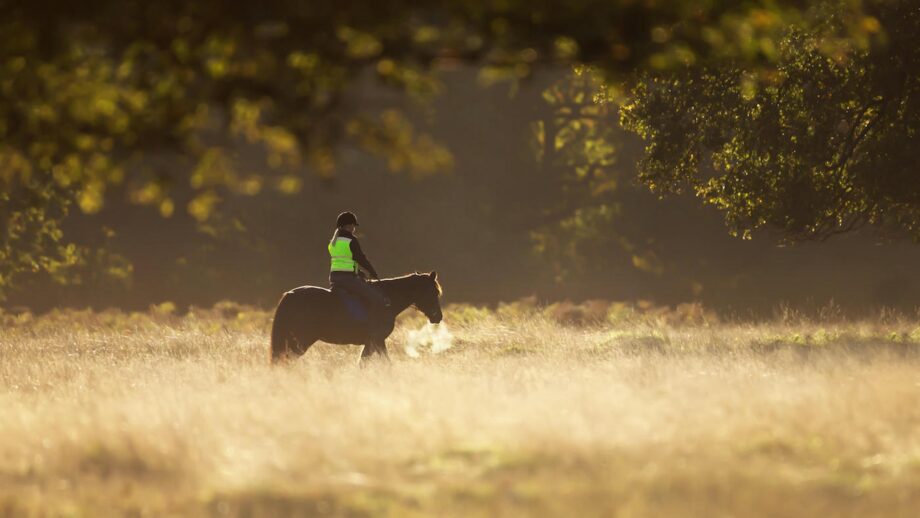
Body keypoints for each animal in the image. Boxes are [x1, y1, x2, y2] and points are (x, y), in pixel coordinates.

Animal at [270, 271, 443, 364]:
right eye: (433, 292)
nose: (438, 316)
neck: (387, 299)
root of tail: (290, 295)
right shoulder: (377, 340)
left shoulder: (372, 343)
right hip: (300, 341)